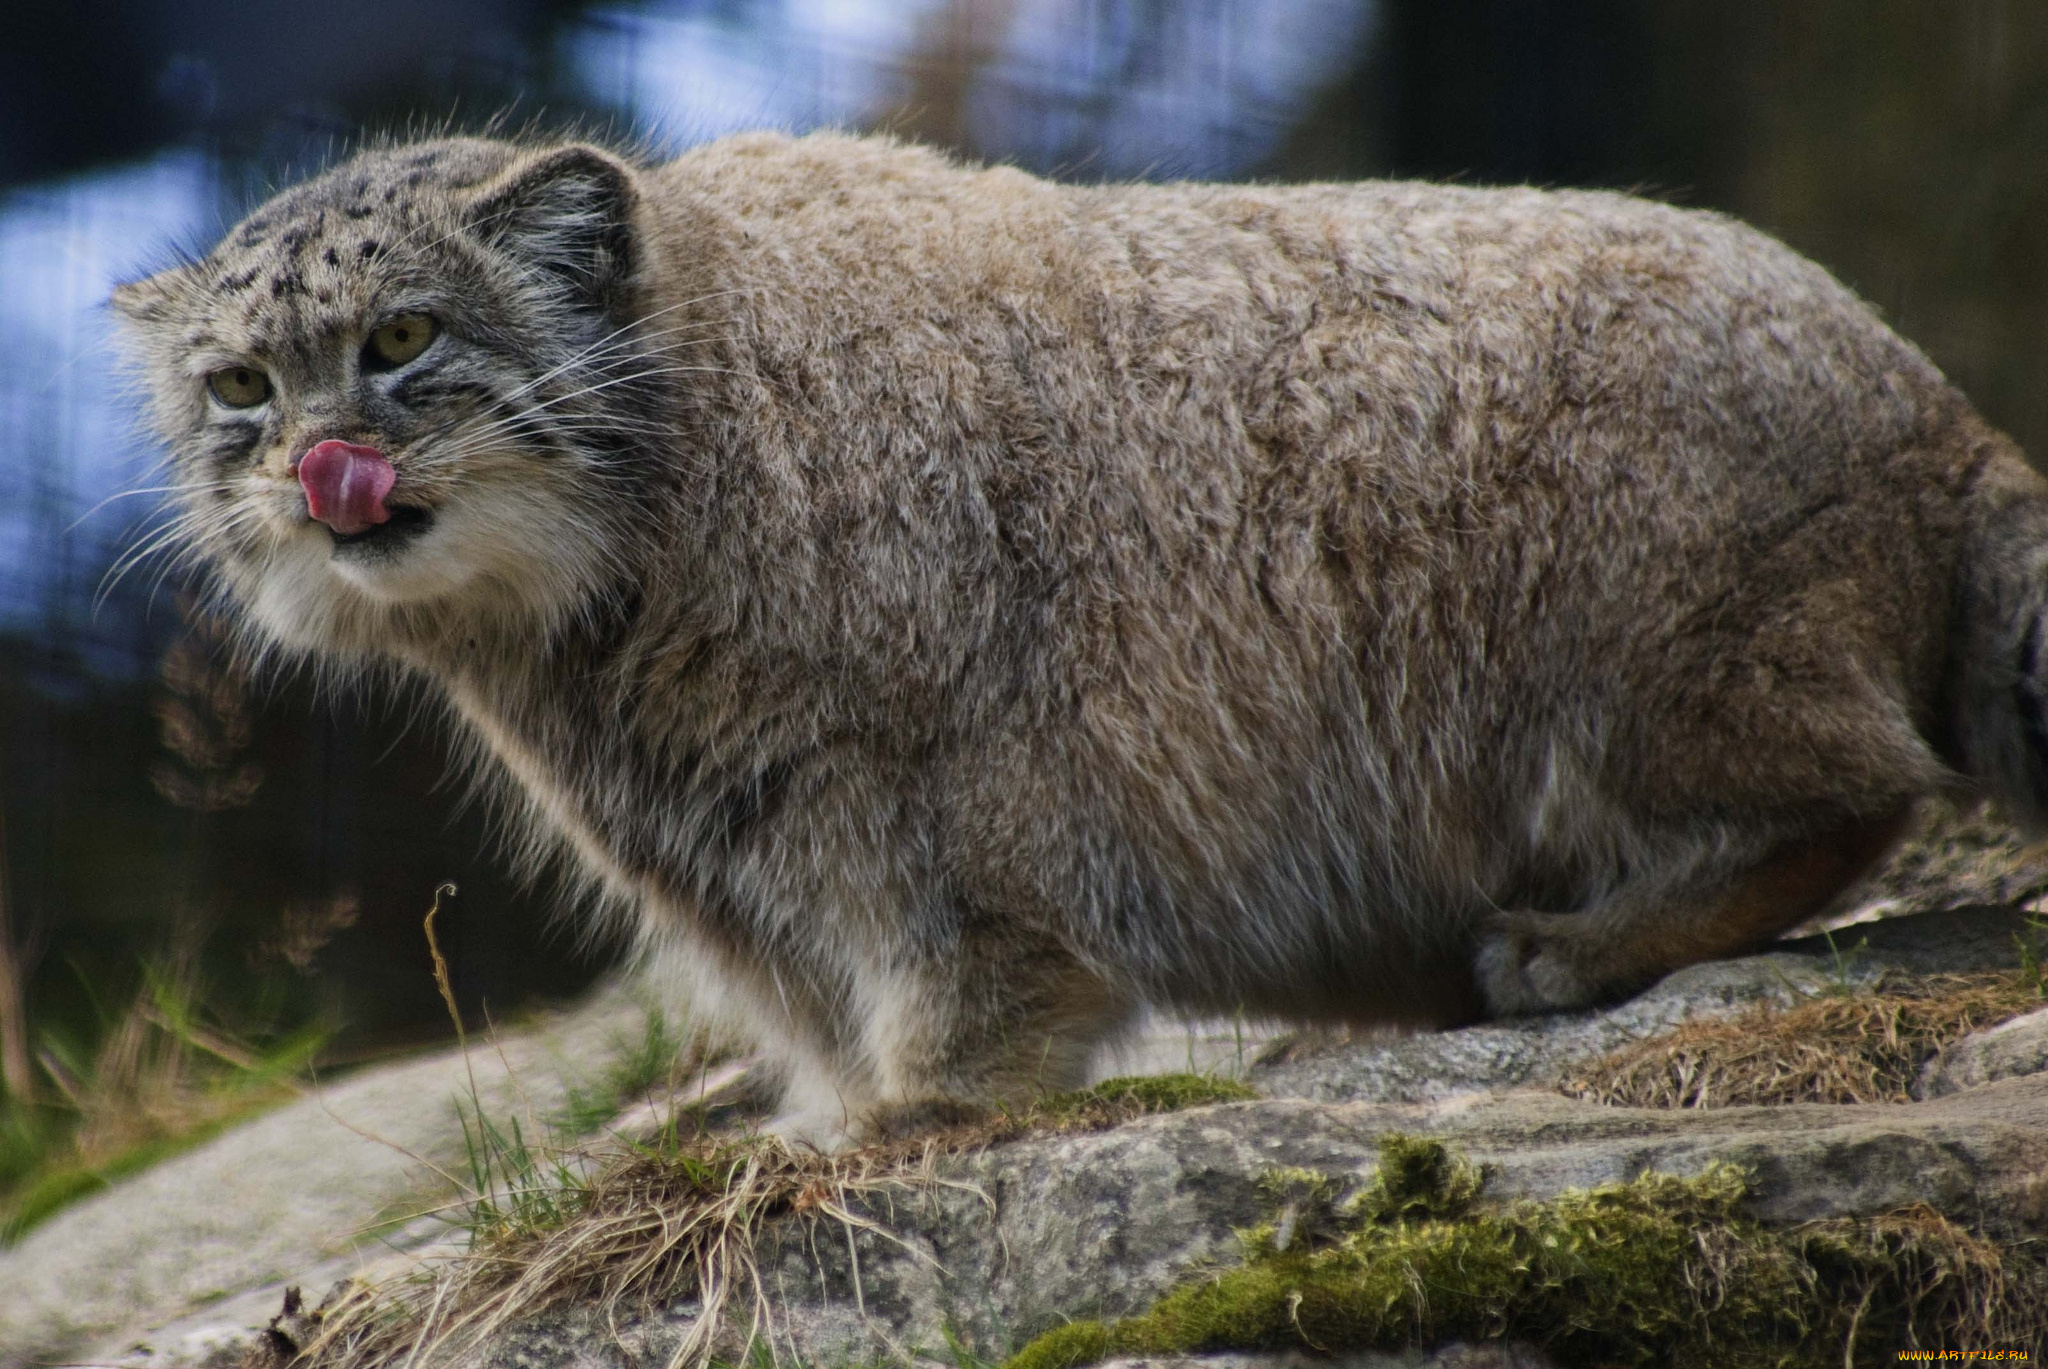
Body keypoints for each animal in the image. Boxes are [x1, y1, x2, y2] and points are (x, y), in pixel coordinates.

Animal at [112, 131, 2048, 1147]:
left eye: (403, 339)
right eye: (239, 383)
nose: (315, 465)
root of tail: (1944, 413)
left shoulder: (946, 805)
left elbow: (966, 988)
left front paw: (915, 1118)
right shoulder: (741, 863)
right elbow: (817, 1011)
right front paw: (827, 1124)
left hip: (1647, 646)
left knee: (1850, 793)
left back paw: (1574, 947)